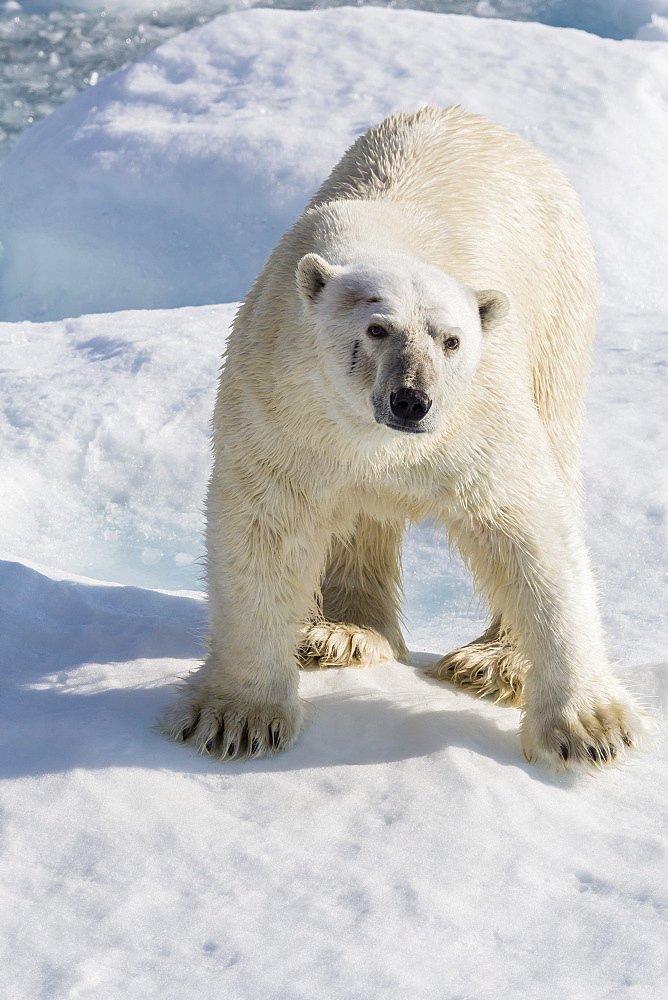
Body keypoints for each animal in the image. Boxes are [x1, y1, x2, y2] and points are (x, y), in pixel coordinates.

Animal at [163, 105, 652, 768]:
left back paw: (489, 663)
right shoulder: (282, 408)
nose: (412, 401)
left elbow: (527, 526)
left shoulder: (478, 415)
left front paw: (591, 728)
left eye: (451, 340)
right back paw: (338, 633)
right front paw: (235, 717)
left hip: (559, 312)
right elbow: (266, 527)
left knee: (556, 441)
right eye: (377, 329)